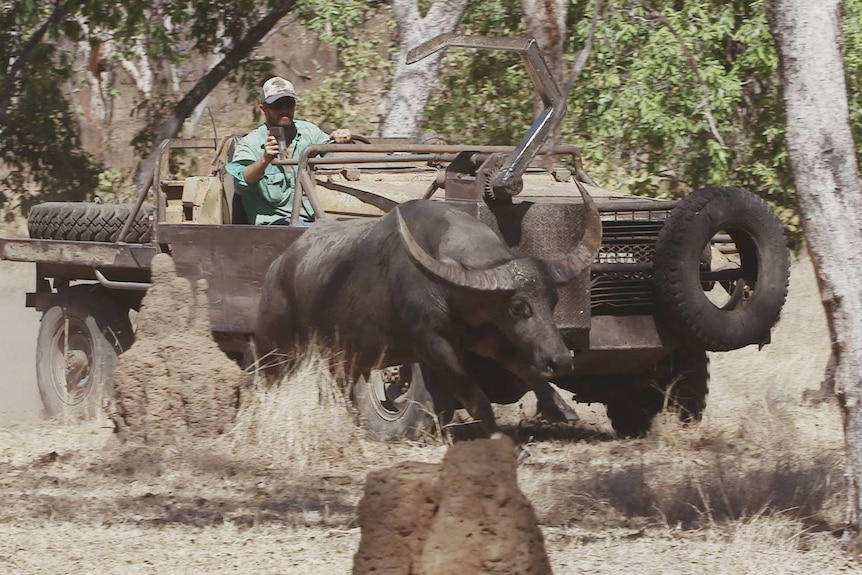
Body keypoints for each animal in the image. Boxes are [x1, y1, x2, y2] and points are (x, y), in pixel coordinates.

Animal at [256, 182, 600, 438]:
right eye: (518, 306)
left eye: (553, 301)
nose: (561, 360)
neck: (451, 291)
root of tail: (277, 268)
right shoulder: (433, 347)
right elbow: (476, 397)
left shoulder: (492, 338)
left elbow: (526, 368)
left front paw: (560, 406)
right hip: (277, 351)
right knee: (264, 384)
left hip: (343, 358)